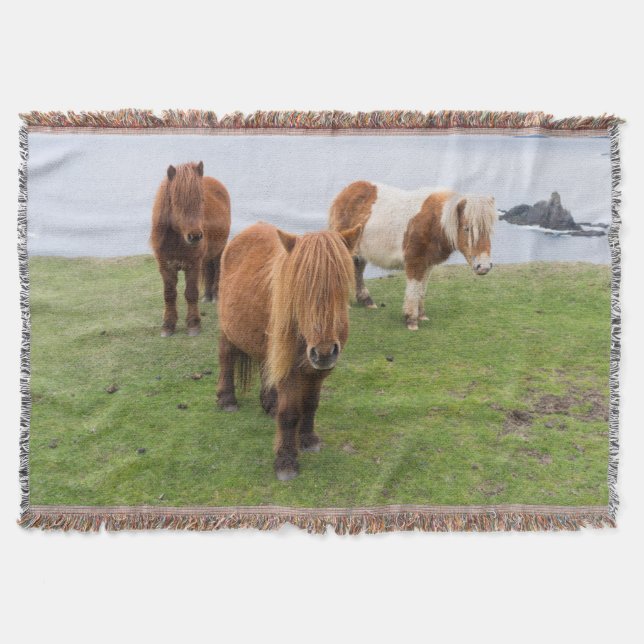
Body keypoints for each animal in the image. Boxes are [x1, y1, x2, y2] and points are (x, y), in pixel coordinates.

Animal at [150, 161, 231, 337]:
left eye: (201, 199)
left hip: (219, 250)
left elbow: (191, 293)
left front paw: (193, 324)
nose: (195, 236)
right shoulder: (165, 266)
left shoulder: (193, 265)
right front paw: (168, 325)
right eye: (175, 200)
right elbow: (169, 294)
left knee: (217, 269)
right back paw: (207, 296)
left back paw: (215, 295)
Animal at [216, 221, 362, 481]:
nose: (324, 352)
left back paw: (269, 403)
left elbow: (311, 404)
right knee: (226, 359)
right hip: (227, 330)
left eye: (341, 285)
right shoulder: (292, 372)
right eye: (300, 289)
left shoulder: (318, 372)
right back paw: (227, 399)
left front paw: (308, 439)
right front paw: (286, 461)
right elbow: (290, 414)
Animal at [329, 181, 497, 330]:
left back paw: (366, 301)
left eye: (489, 230)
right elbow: (414, 289)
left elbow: (421, 289)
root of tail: (346, 191)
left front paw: (421, 315)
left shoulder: (427, 264)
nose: (484, 267)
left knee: (357, 270)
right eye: (467, 229)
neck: (434, 222)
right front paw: (411, 319)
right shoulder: (414, 261)